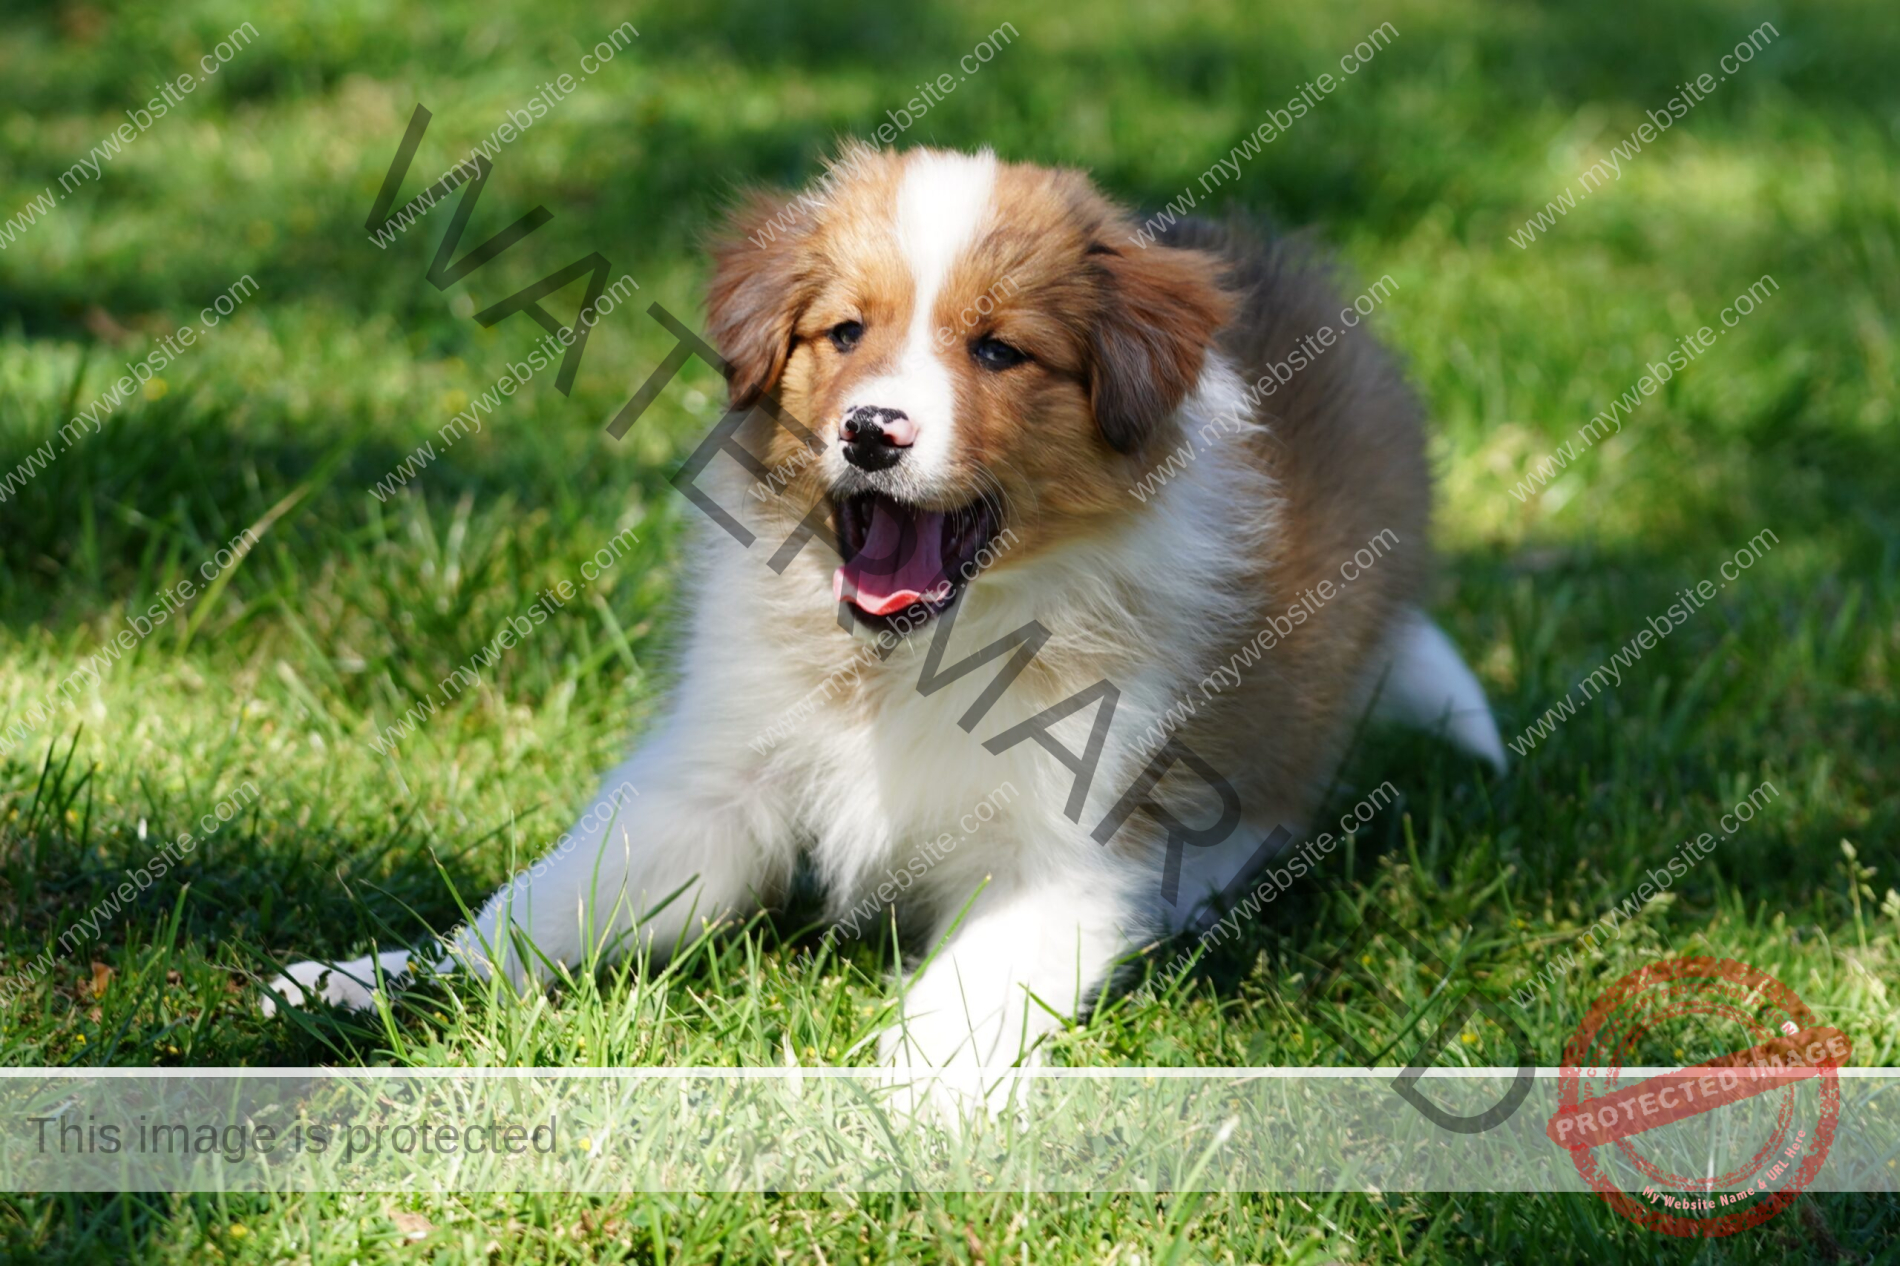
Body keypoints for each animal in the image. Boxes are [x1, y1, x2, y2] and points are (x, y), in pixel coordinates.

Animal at [271, 142, 1512, 1079]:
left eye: (999, 349)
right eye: (845, 333)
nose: (873, 431)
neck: (913, 656)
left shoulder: (1067, 851)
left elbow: (961, 1000)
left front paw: (901, 1110)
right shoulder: (713, 782)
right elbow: (547, 904)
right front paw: (378, 978)